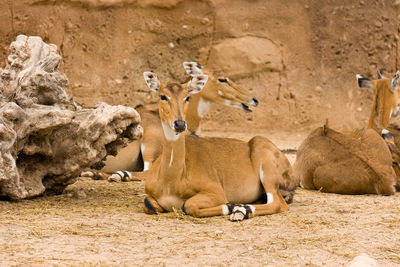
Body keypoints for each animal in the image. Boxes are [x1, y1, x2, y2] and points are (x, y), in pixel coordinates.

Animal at [141, 71, 296, 222]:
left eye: (187, 97)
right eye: (163, 96)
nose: (179, 124)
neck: (170, 181)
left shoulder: (216, 191)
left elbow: (188, 205)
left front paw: (230, 206)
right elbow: (148, 204)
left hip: (267, 169)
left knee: (278, 203)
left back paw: (240, 211)